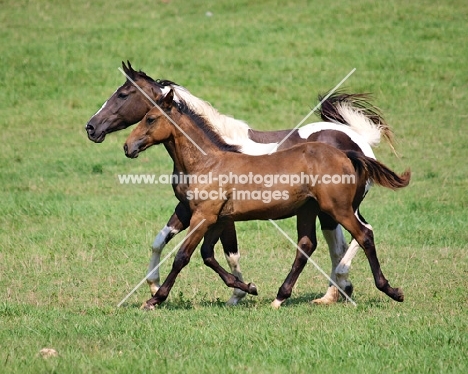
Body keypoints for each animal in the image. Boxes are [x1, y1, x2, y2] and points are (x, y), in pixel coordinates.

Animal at [87, 61, 394, 306]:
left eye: (123, 94)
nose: (91, 128)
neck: (212, 154)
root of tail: (356, 143)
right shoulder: (191, 209)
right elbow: (163, 241)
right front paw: (153, 283)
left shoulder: (212, 215)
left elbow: (213, 254)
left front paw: (234, 293)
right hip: (318, 209)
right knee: (326, 244)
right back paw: (330, 293)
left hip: (336, 208)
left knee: (360, 234)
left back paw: (349, 285)